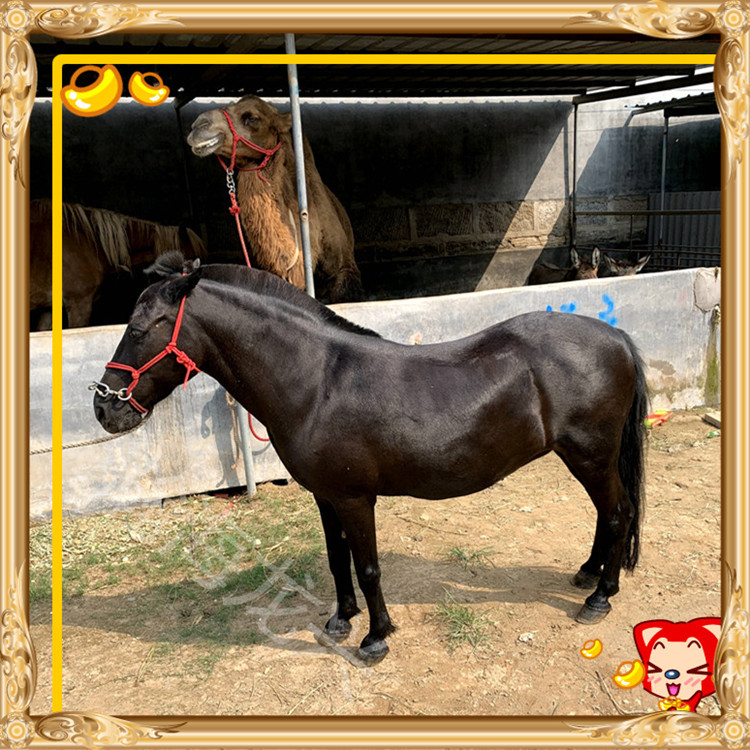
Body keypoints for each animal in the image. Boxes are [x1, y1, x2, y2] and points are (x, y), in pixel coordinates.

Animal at [92, 251, 648, 666]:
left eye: (141, 328)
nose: (104, 406)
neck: (317, 381)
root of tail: (618, 337)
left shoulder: (356, 498)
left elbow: (368, 566)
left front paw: (376, 637)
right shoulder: (326, 496)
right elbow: (338, 560)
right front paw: (341, 619)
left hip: (591, 456)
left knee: (617, 513)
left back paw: (600, 596)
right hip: (586, 458)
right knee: (607, 515)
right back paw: (590, 574)